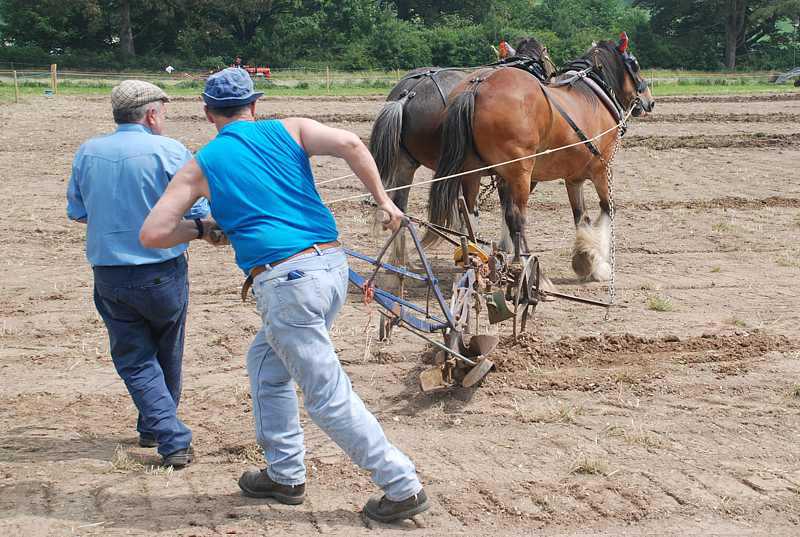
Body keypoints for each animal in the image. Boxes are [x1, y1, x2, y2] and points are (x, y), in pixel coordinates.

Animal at [368, 37, 556, 264]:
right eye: (547, 56)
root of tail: (407, 95)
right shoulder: (510, 170)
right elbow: (507, 207)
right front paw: (510, 247)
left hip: (407, 163)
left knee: (400, 207)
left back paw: (401, 259)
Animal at [428, 33, 652, 280]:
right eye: (635, 64)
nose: (649, 101)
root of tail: (476, 87)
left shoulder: (573, 179)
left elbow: (581, 216)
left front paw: (584, 258)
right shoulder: (602, 169)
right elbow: (606, 211)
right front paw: (599, 266)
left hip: (472, 171)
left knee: (469, 213)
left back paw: (475, 258)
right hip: (520, 173)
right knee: (517, 218)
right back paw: (525, 265)